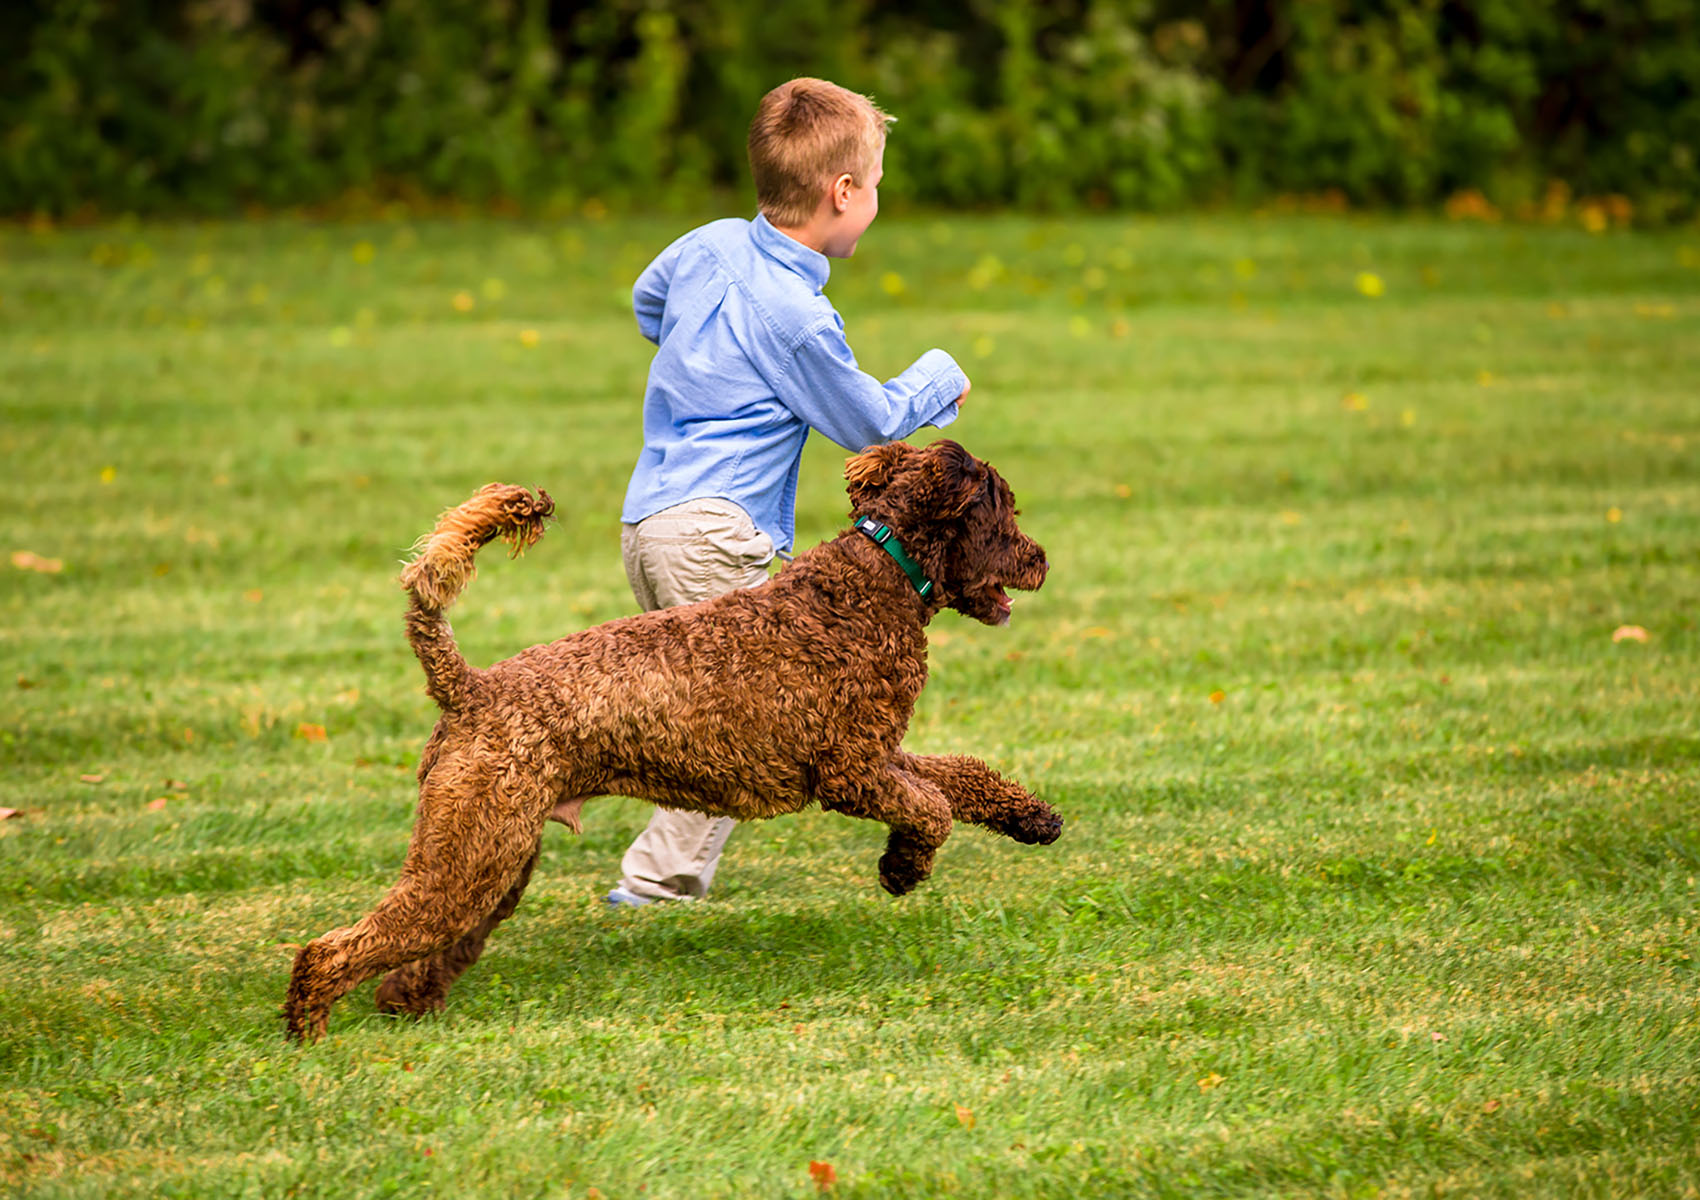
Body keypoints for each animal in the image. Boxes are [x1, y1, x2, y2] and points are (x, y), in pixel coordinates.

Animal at [289, 438, 1060, 1040]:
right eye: (1004, 512)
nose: (1043, 559)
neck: (878, 579)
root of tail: (470, 686)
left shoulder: (882, 752)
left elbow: (960, 777)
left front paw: (1033, 818)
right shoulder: (851, 770)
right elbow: (932, 809)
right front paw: (901, 869)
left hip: (493, 858)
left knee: (429, 947)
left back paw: (404, 1003)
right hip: (468, 852)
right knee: (333, 949)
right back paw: (309, 1032)